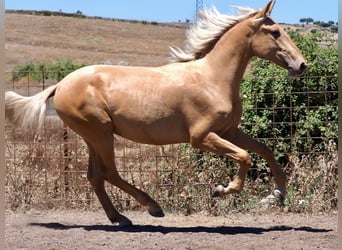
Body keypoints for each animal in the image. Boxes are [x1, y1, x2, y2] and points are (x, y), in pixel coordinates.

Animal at [5, 0, 306, 227]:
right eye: (275, 32)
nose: (301, 65)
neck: (212, 79)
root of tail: (60, 84)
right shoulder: (201, 137)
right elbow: (245, 156)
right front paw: (221, 190)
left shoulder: (228, 131)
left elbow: (264, 150)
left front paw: (277, 195)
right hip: (100, 133)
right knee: (110, 173)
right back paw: (152, 206)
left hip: (92, 136)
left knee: (96, 176)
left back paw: (120, 218)